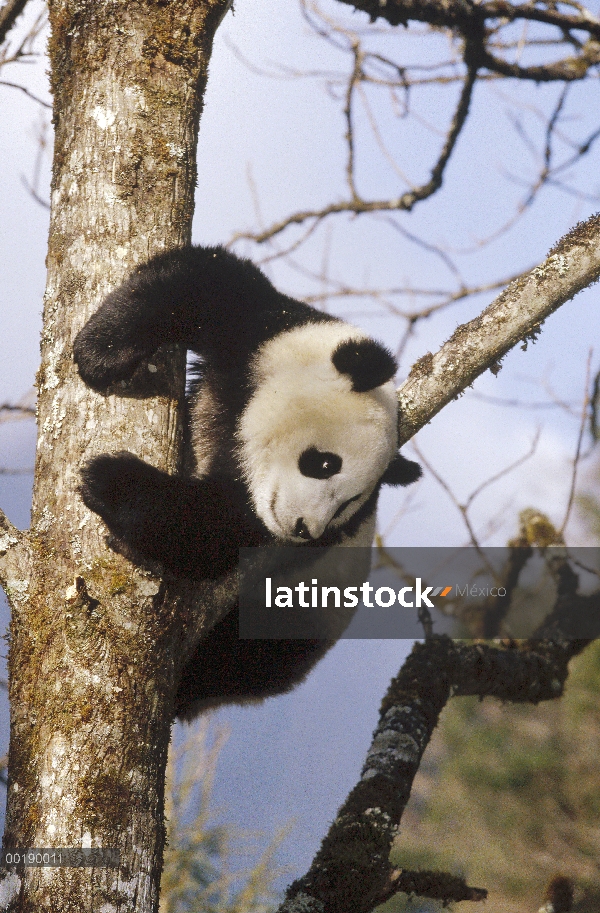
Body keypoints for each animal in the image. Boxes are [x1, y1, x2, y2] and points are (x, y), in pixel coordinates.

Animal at [74, 246, 422, 716]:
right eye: (325, 464)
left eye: (348, 505)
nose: (305, 529)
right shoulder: (260, 337)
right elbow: (201, 283)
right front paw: (100, 353)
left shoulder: (261, 522)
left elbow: (208, 533)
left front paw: (110, 481)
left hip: (288, 626)